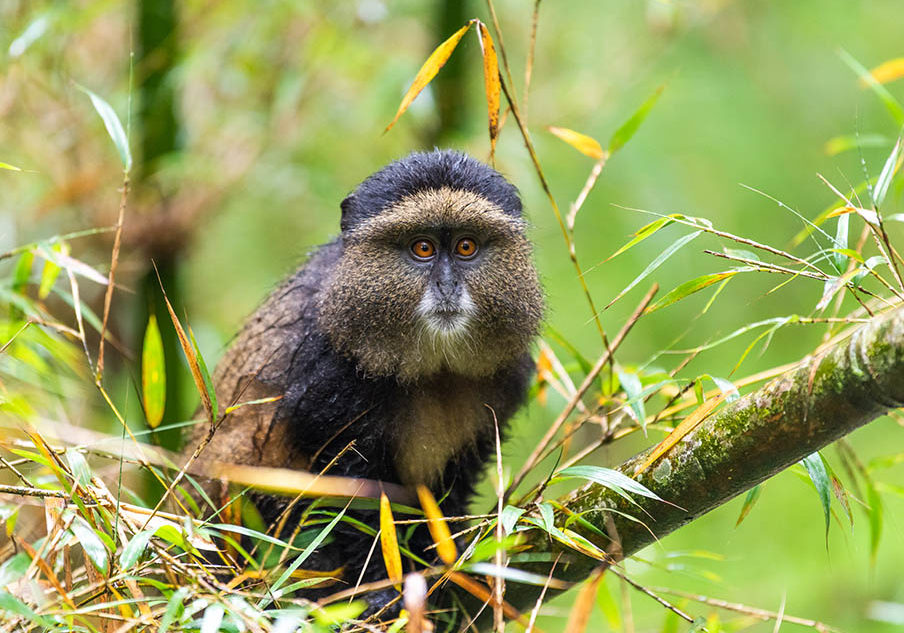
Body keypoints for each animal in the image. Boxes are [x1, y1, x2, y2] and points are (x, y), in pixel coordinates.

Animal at [183, 149, 544, 613]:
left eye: (466, 246)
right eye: (422, 248)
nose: (447, 285)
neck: (433, 367)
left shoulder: (504, 378)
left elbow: (452, 483)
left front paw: (446, 562)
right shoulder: (327, 376)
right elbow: (353, 496)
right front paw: (379, 588)